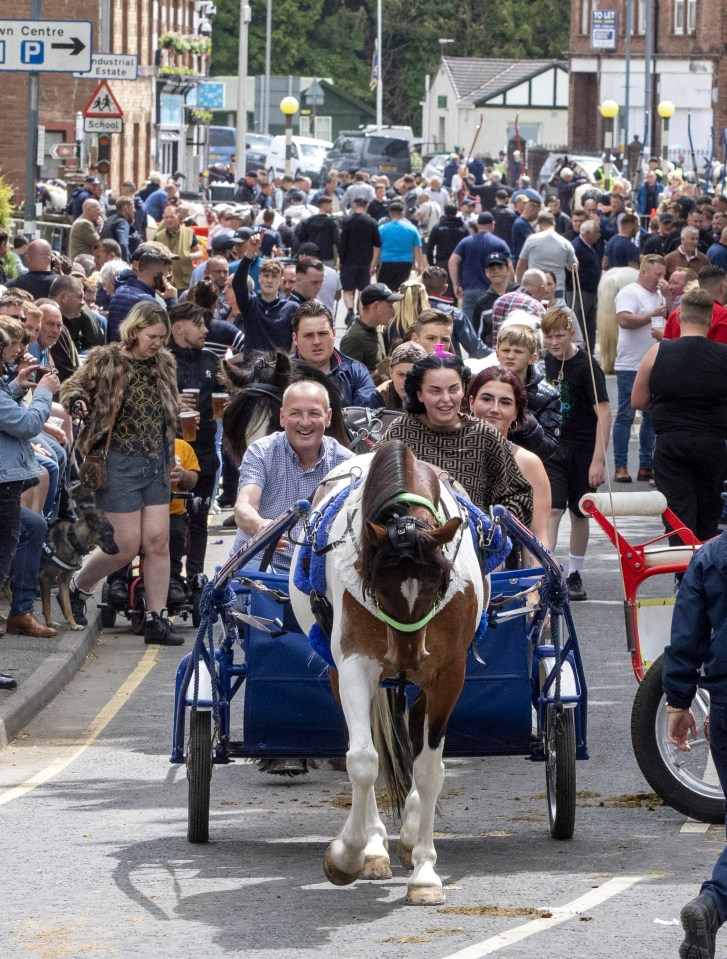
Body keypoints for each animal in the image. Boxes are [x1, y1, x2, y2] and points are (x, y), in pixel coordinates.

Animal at [40, 502, 120, 632]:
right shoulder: (45, 578)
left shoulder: (63, 580)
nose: (118, 551)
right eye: (108, 535)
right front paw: (50, 625)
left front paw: (74, 625)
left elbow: (68, 606)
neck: (72, 541)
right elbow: (47, 607)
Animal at [290, 438, 490, 904]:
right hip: (344, 672)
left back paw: (410, 835)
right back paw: (375, 847)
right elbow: (364, 760)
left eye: (438, 584)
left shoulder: (447, 675)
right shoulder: (355, 665)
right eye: (379, 589)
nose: (408, 658)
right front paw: (348, 853)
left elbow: (430, 771)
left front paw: (425, 870)